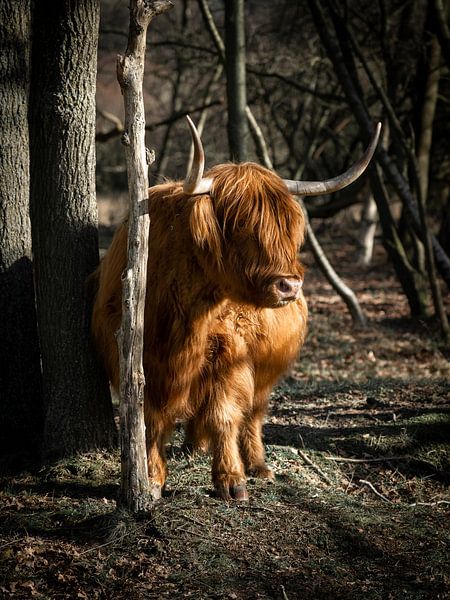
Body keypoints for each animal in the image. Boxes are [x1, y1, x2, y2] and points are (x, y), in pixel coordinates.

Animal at [91, 117, 380, 502]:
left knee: (253, 413)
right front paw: (151, 477)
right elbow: (151, 417)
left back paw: (257, 464)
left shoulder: (231, 354)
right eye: (243, 225)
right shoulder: (135, 357)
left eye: (289, 229)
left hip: (265, 370)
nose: (290, 286)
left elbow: (224, 414)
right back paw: (195, 445)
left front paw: (231, 479)